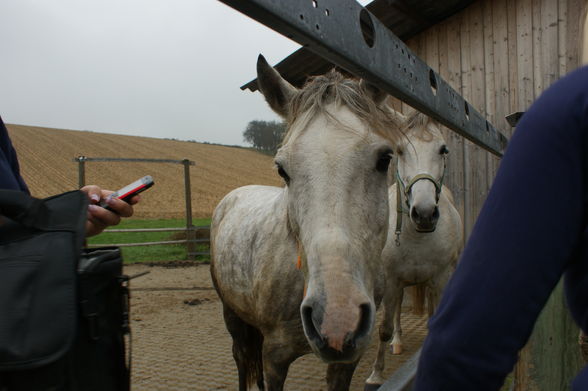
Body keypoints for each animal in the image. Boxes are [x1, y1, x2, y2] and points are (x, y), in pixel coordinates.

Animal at [210, 56, 404, 391]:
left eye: (384, 159)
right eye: (281, 169)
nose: (337, 319)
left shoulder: (346, 361)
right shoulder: (275, 356)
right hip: (232, 316)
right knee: (241, 358)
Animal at [362, 112, 464, 390]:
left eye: (443, 149)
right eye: (400, 150)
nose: (425, 213)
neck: (416, 236)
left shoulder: (439, 279)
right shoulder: (392, 281)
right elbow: (384, 328)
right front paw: (375, 375)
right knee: (396, 314)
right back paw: (397, 343)